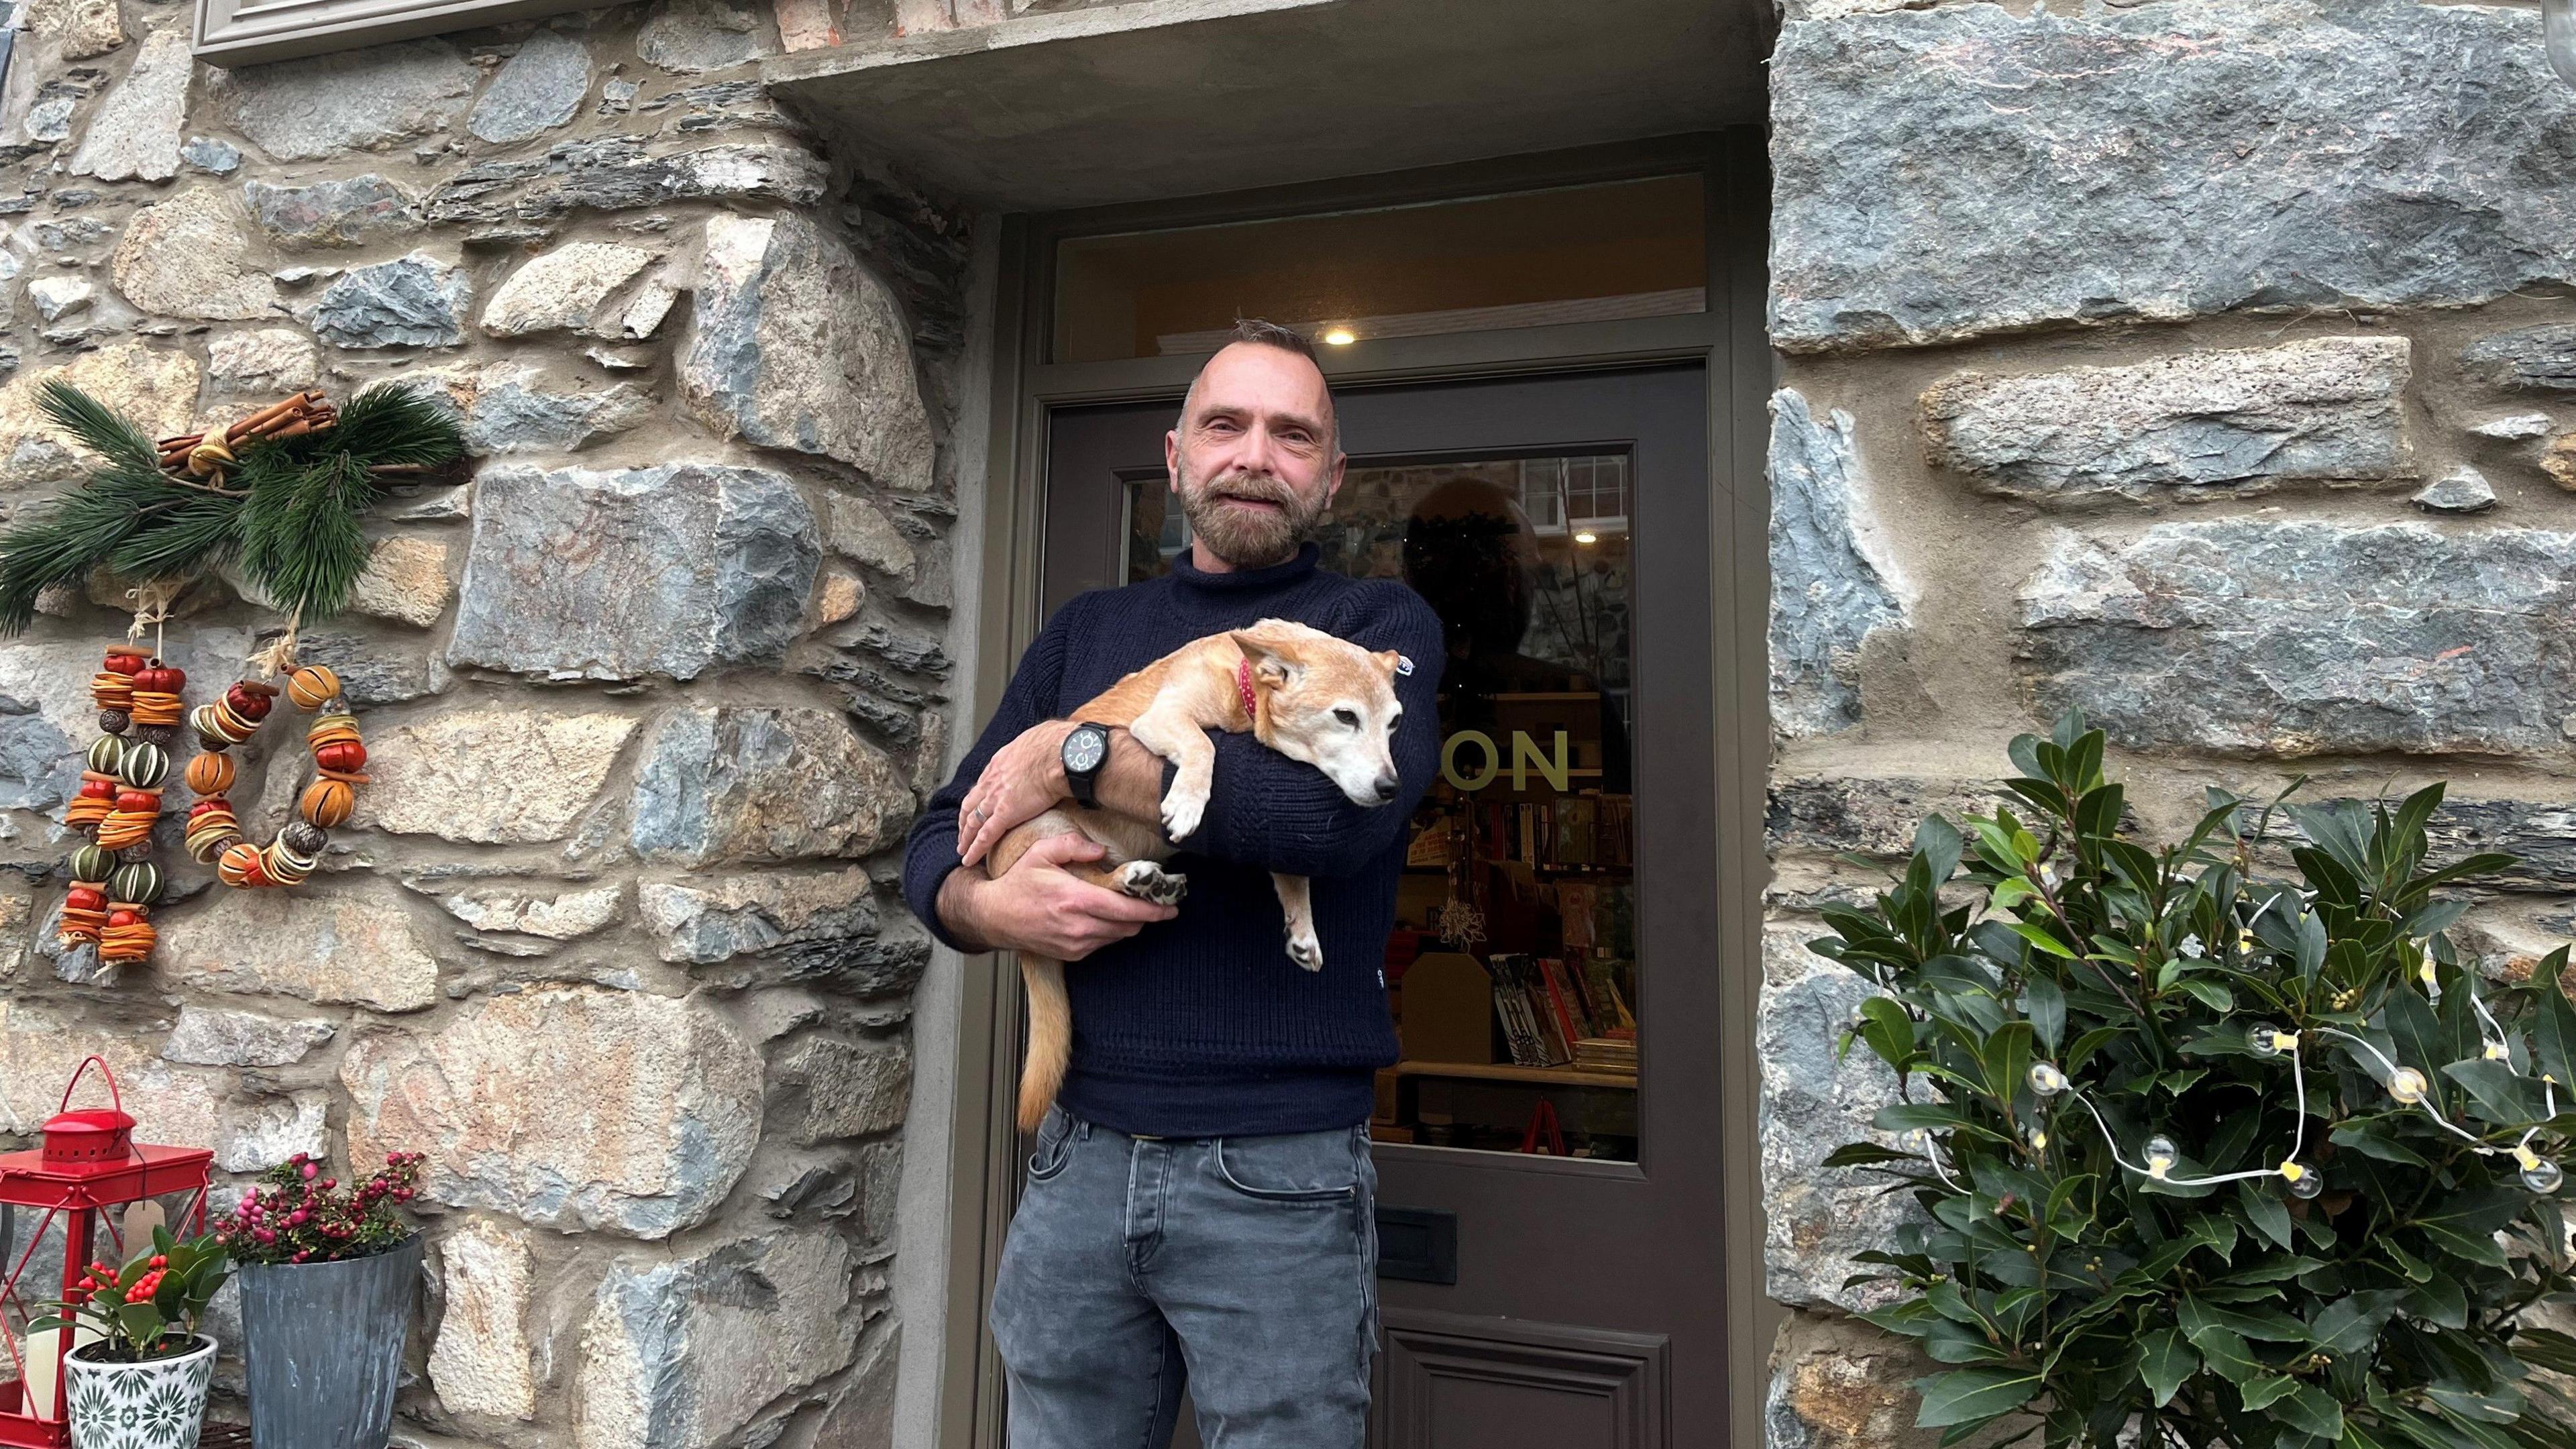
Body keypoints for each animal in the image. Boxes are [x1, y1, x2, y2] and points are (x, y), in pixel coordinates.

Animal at [983, 613, 1411, 1134]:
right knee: (1086, 880)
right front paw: (1188, 800)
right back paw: (1136, 877)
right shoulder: (1164, 718)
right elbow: (1203, 744)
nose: (1391, 788)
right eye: (1345, 717)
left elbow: (1293, 875)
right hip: (1049, 829)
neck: (1244, 682)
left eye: (1394, 722)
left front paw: (1303, 928)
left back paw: (1155, 886)